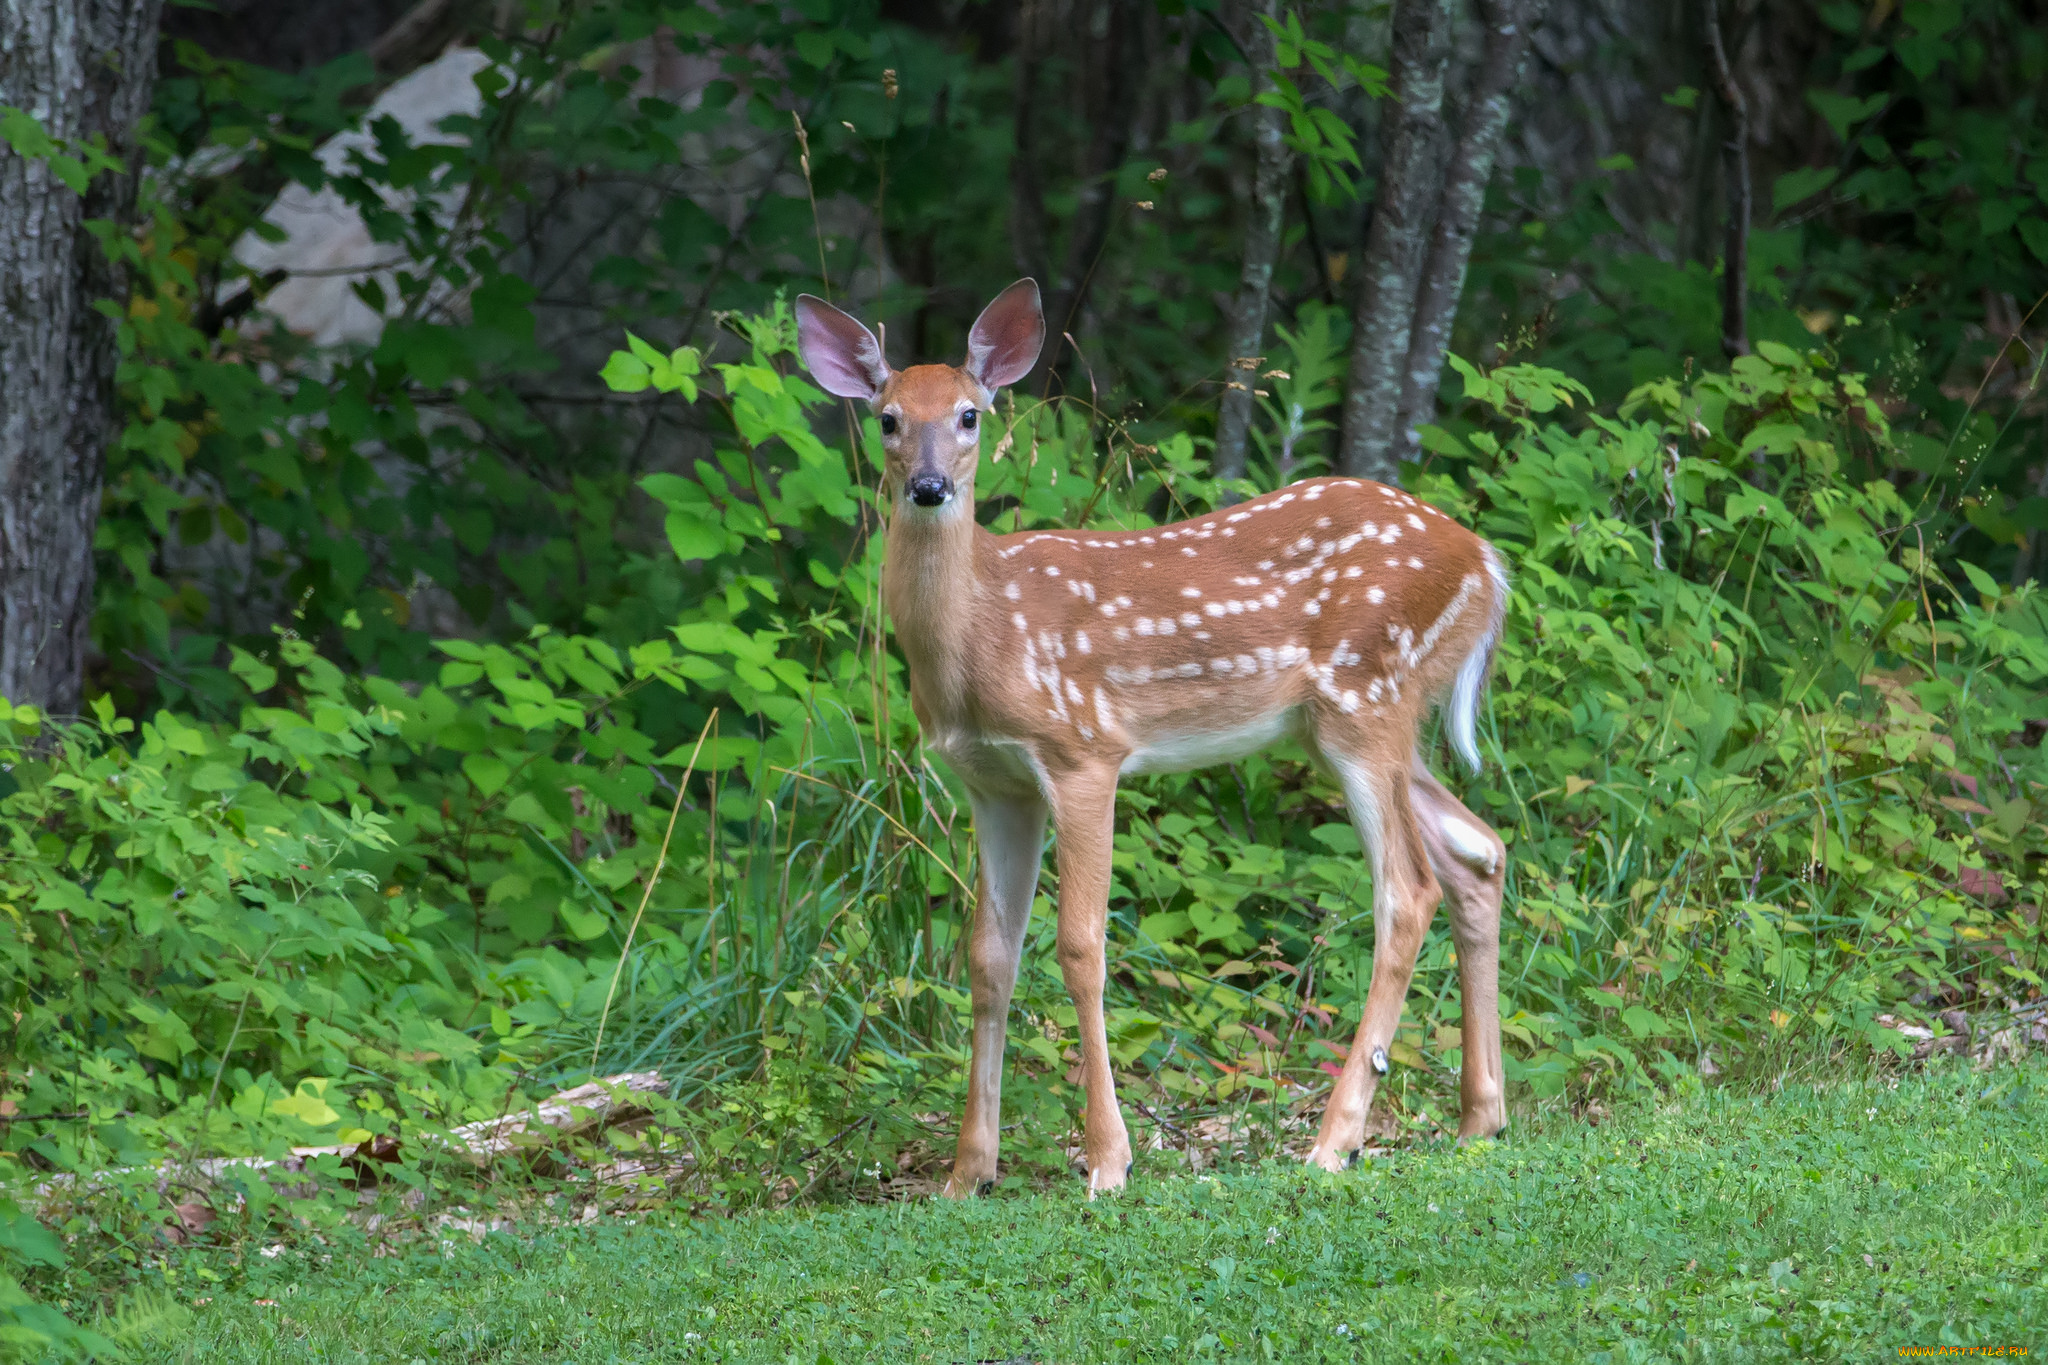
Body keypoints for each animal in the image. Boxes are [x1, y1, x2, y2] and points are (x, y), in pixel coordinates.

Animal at [790, 278, 1515, 1195]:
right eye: (886, 417)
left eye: (969, 415)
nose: (926, 485)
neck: (981, 635)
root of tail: (1487, 562)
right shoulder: (994, 782)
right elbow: (989, 957)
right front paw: (967, 1173)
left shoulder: (1082, 751)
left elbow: (1081, 946)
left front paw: (1108, 1159)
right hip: (1360, 722)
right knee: (1478, 850)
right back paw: (1481, 1120)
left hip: (1366, 695)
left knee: (1408, 889)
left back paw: (1335, 1139)